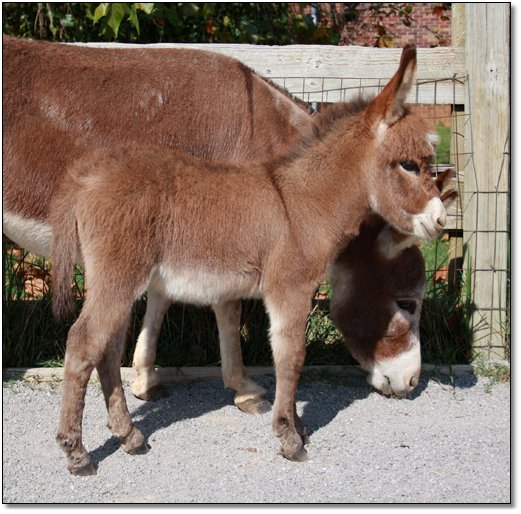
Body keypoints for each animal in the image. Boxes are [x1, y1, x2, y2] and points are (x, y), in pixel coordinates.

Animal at [49, 44, 448, 474]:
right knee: (83, 342)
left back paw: (129, 436)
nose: (441, 221)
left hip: (116, 280)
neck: (302, 202)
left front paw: (297, 426)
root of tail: (88, 176)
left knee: (106, 349)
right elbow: (291, 357)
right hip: (118, 276)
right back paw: (77, 452)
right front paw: (290, 437)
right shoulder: (289, 289)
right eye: (408, 164)